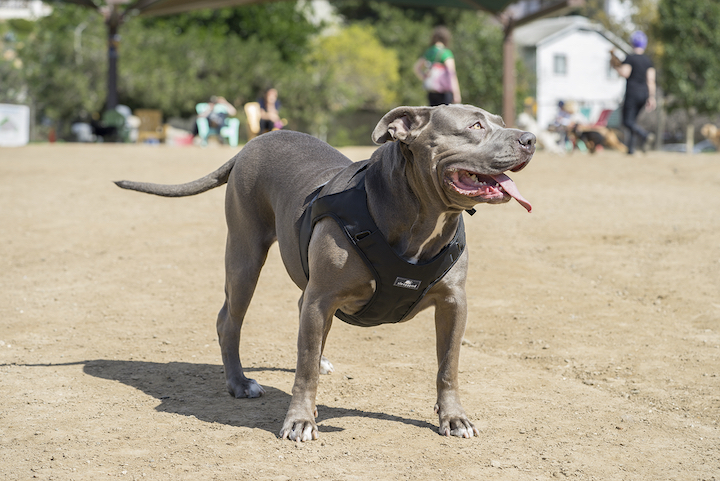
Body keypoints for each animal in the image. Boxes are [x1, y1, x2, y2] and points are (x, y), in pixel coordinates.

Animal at [115, 103, 536, 440]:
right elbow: (303, 371)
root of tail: (252, 144)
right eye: (475, 126)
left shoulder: (453, 302)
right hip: (244, 257)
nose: (530, 139)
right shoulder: (321, 298)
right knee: (229, 321)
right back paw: (239, 383)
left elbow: (448, 366)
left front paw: (454, 418)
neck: (419, 216)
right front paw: (300, 420)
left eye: (500, 121)